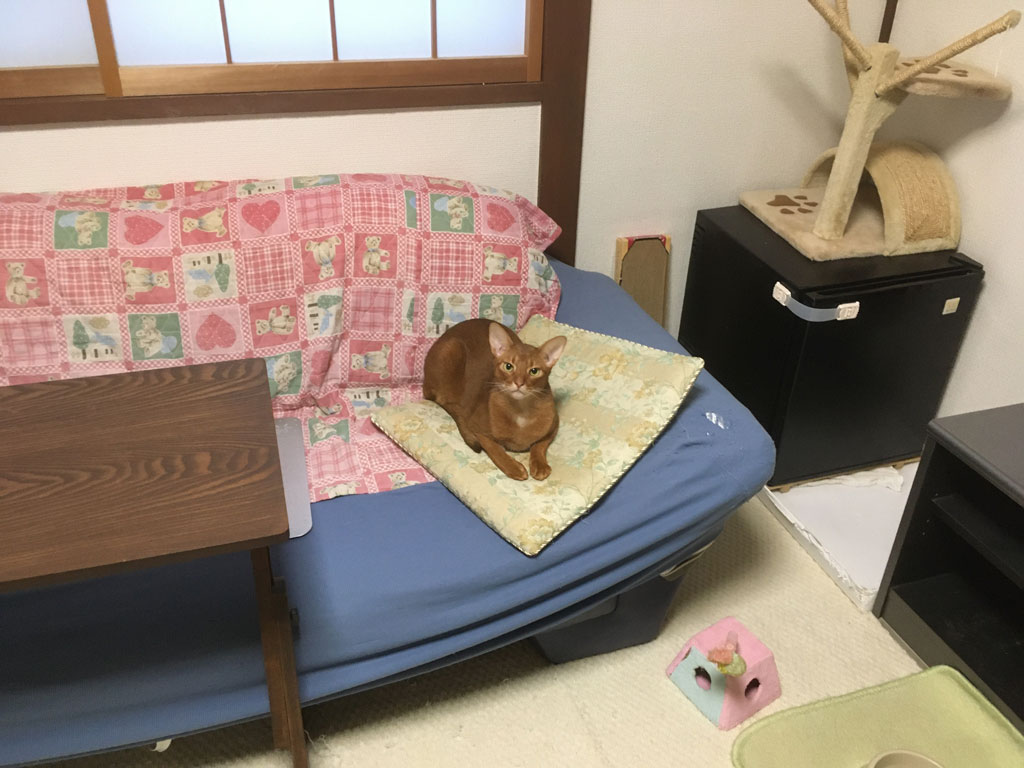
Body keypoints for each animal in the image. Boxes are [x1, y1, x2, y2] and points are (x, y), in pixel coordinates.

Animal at [423, 318, 566, 481]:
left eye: (534, 371)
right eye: (509, 366)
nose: (519, 383)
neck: (521, 410)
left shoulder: (553, 426)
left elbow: (539, 445)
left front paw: (540, 466)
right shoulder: (477, 429)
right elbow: (495, 449)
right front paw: (514, 468)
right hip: (452, 350)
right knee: (443, 400)